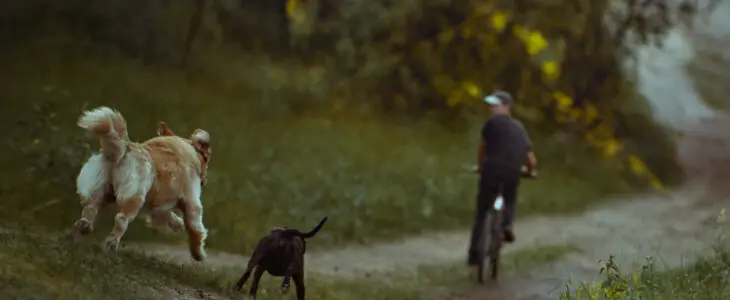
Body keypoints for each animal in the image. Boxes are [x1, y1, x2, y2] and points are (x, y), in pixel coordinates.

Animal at [73, 107, 210, 260]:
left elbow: (167, 214)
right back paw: (112, 243)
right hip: (135, 197)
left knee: (90, 208)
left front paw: (177, 223)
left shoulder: (158, 202)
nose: (204, 180)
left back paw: (85, 226)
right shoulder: (193, 204)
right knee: (121, 219)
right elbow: (196, 230)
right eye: (206, 159)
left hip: (103, 191)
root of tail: (125, 148)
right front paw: (198, 253)